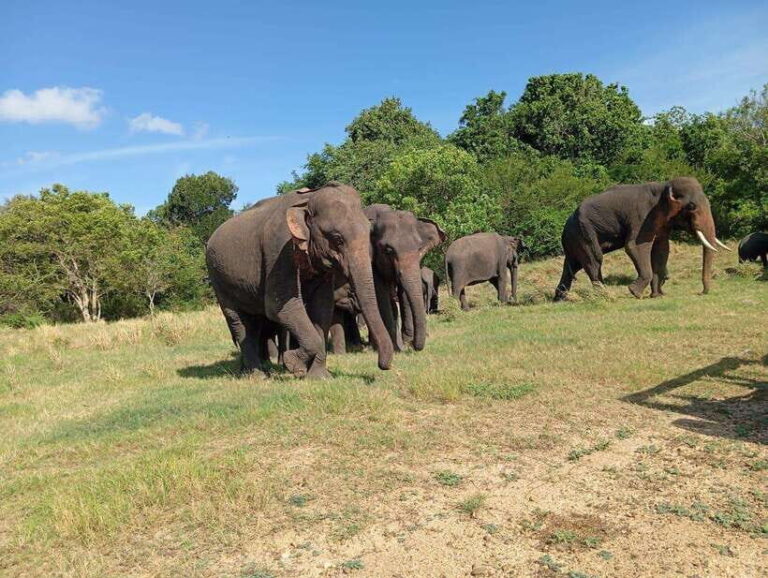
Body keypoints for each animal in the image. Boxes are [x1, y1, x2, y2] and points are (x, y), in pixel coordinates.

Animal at [205, 182, 394, 378]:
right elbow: (280, 307)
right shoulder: (280, 250)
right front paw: (293, 365)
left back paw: (254, 370)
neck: (308, 199)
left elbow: (323, 307)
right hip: (218, 279)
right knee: (239, 321)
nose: (383, 366)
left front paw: (319, 377)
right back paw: (258, 375)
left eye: (369, 232)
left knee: (253, 323)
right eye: (337, 238)